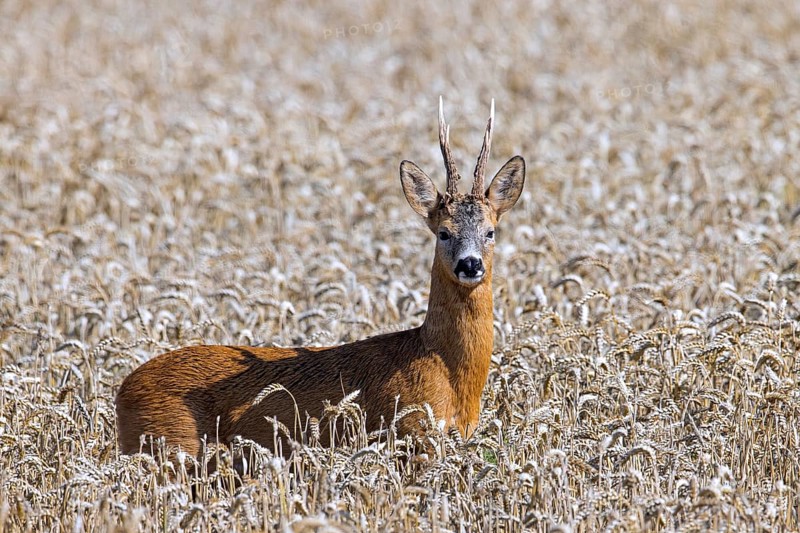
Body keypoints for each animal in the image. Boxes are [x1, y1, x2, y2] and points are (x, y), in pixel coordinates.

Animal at [115, 98, 526, 464]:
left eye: (490, 232)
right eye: (443, 232)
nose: (469, 265)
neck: (441, 363)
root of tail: (122, 392)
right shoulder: (411, 431)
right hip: (172, 447)